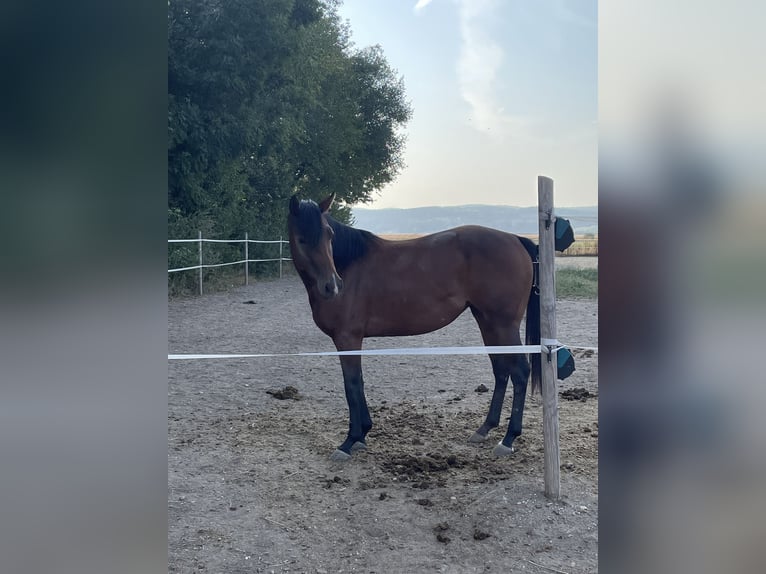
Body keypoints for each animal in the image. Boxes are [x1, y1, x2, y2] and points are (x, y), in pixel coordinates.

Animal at [290, 196, 544, 462]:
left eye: (329, 234)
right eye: (301, 238)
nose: (332, 285)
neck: (348, 265)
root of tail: (515, 239)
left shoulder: (347, 338)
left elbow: (351, 385)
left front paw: (349, 441)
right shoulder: (351, 340)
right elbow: (358, 381)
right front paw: (362, 434)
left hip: (503, 325)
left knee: (520, 372)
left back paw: (508, 439)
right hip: (488, 322)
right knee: (501, 370)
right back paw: (485, 429)